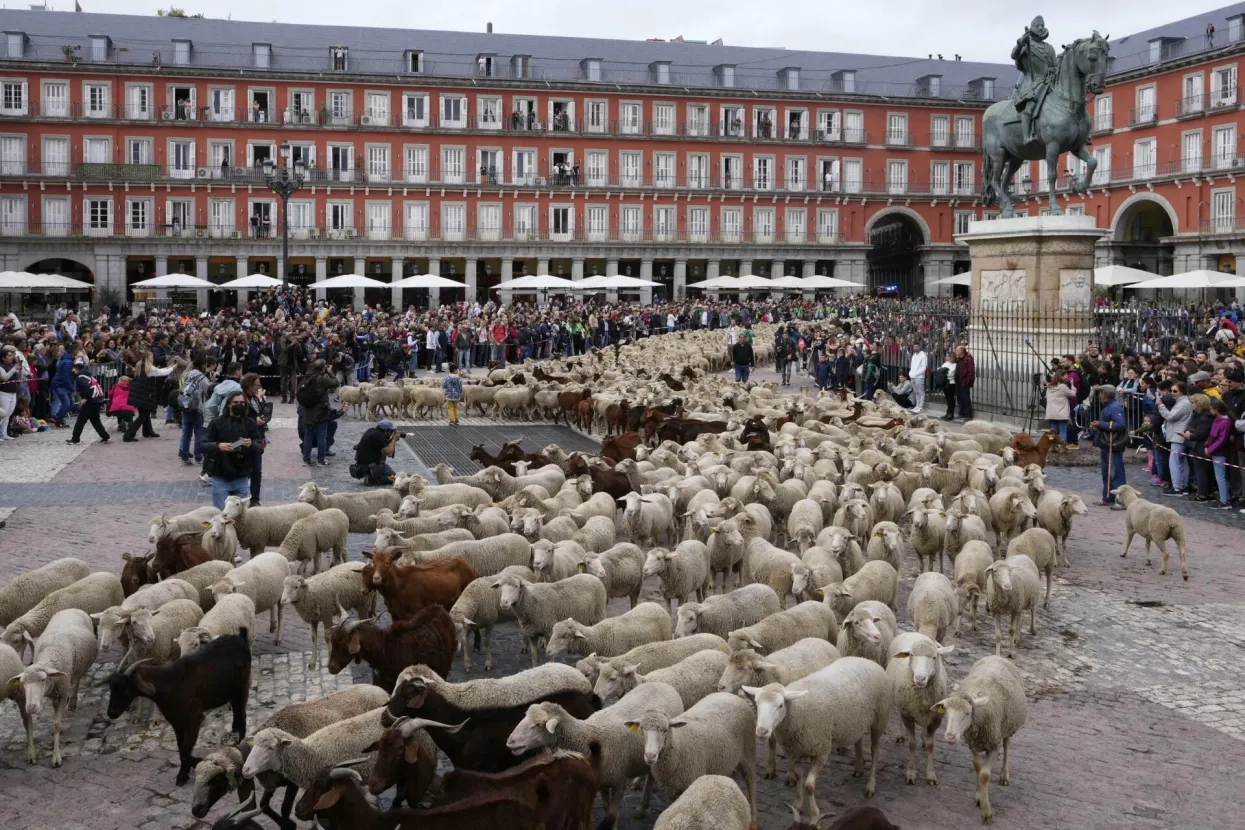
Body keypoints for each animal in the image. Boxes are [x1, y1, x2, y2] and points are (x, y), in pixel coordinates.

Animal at [11, 607, 97, 771]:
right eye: (23, 683)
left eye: (43, 679)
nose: (30, 707)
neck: (49, 656)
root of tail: (72, 608)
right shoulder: (55, 691)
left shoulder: (62, 693)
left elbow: (57, 724)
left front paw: (56, 757)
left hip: (78, 667)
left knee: (76, 681)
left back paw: (73, 701)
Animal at [742, 657, 891, 821]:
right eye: (757, 703)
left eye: (780, 705)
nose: (762, 731)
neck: (797, 710)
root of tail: (866, 659)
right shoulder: (795, 752)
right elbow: (799, 776)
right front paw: (798, 804)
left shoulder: (821, 751)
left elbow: (809, 785)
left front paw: (814, 813)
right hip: (857, 721)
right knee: (858, 739)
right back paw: (858, 767)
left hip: (880, 718)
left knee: (875, 751)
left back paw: (870, 786)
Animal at [886, 632, 951, 791]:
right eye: (911, 655)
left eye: (934, 657)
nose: (920, 677)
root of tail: (913, 633)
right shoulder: (908, 716)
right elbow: (911, 744)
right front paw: (911, 774)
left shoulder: (936, 719)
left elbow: (930, 745)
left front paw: (931, 775)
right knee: (899, 717)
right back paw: (900, 734)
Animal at [936, 657, 1030, 826]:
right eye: (946, 712)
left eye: (967, 713)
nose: (950, 736)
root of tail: (997, 656)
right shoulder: (973, 744)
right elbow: (977, 767)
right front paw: (979, 796)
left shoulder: (993, 744)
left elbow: (985, 775)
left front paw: (986, 812)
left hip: (1007, 726)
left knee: (1006, 745)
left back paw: (1004, 775)